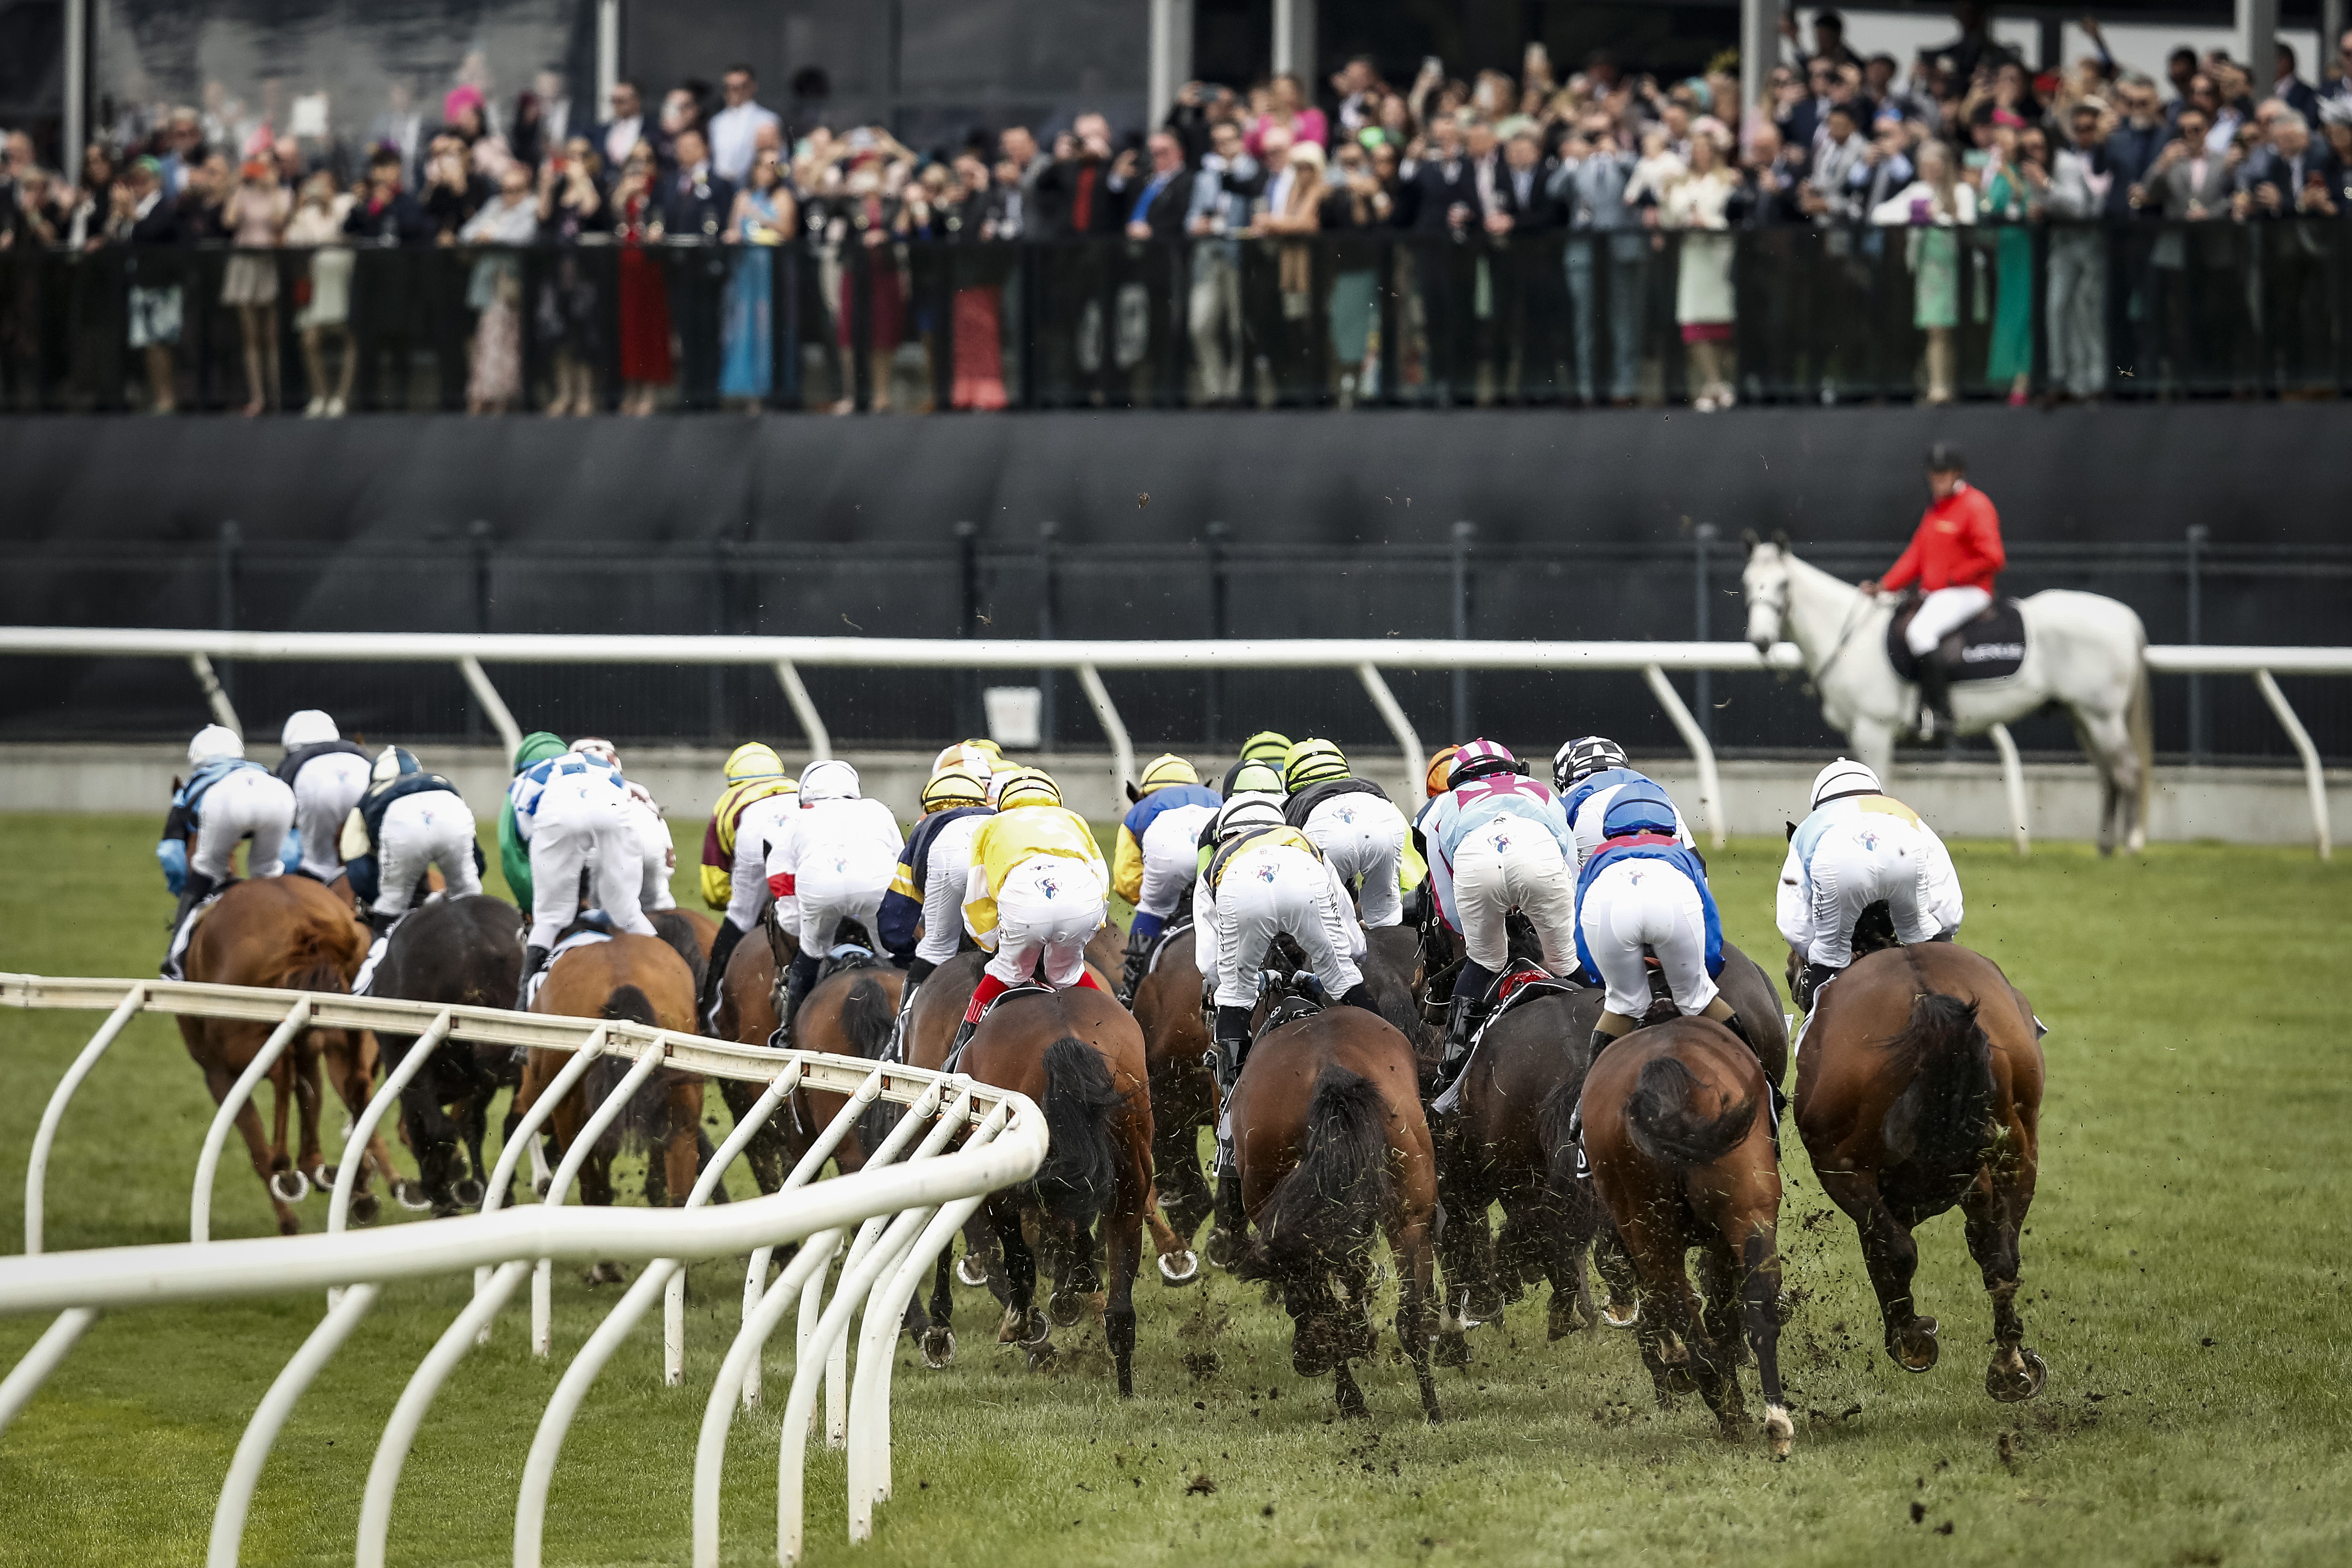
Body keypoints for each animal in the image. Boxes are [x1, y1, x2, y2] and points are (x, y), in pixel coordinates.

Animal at [1740, 540, 2154, 860]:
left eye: (1783, 584)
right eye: (1746, 582)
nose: (1761, 641)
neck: (1851, 637)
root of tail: (2125, 617)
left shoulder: (1874, 731)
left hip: (2101, 717)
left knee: (2126, 771)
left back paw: (2132, 845)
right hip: (2083, 717)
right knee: (2109, 775)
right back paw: (2105, 846)